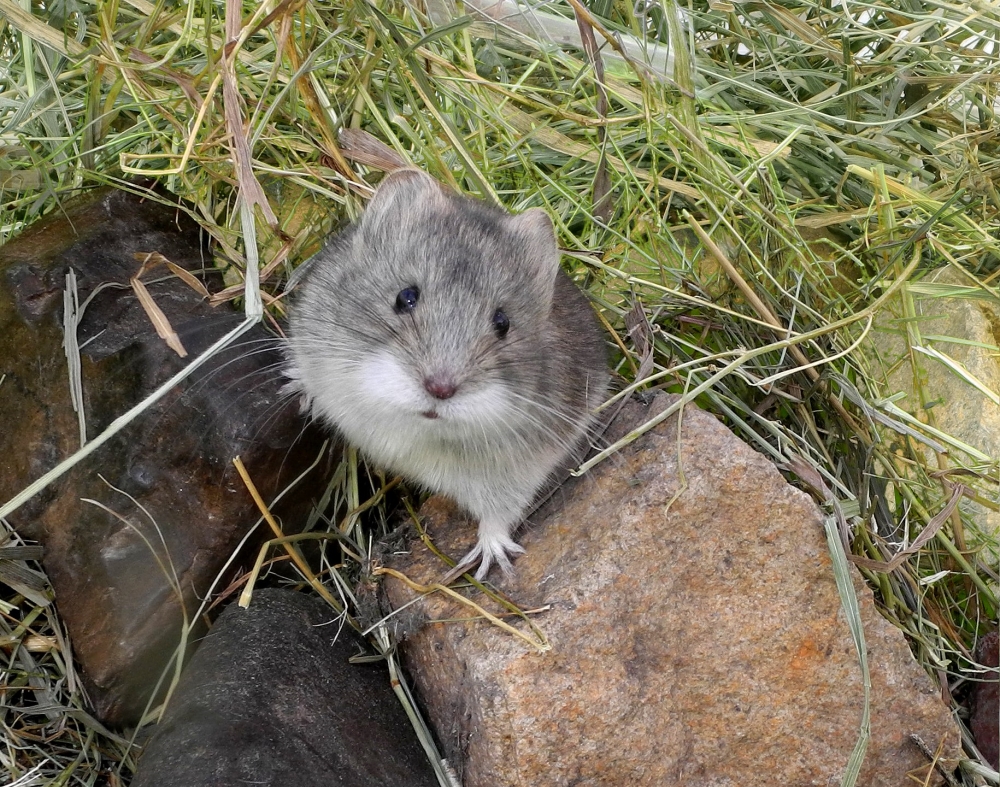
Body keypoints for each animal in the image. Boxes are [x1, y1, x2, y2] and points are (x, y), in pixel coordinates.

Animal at [287, 169, 608, 579]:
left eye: (503, 322)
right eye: (405, 296)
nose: (440, 389)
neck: (416, 425)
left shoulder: (522, 469)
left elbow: (498, 516)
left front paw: (493, 561)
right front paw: (298, 388)